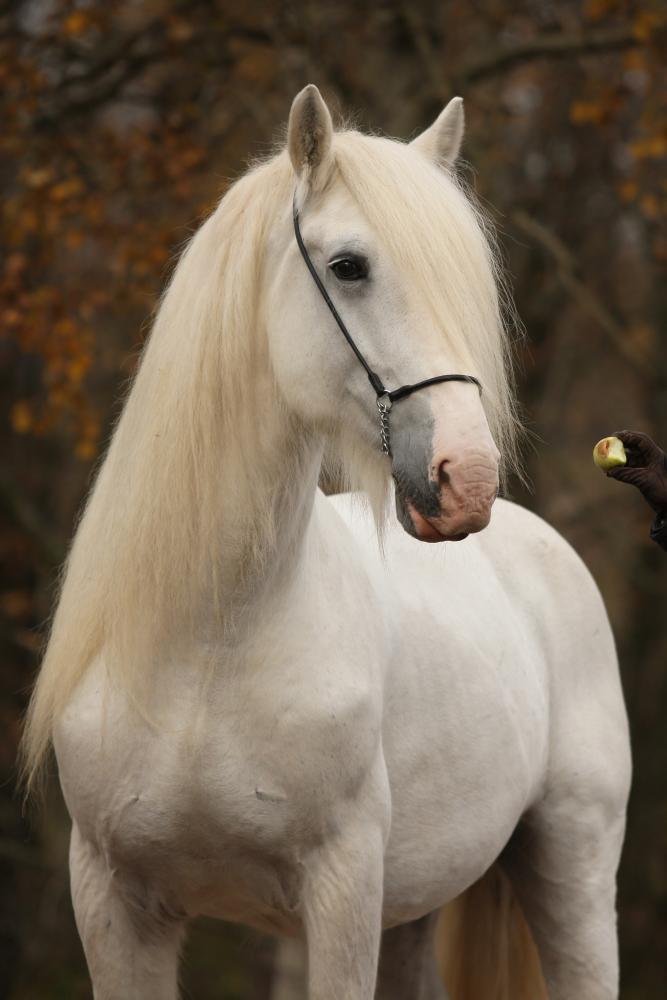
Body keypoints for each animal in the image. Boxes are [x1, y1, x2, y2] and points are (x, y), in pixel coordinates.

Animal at [22, 88, 632, 1000]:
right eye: (348, 266)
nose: (467, 478)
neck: (206, 650)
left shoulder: (341, 894)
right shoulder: (111, 899)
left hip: (573, 864)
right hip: (414, 910)